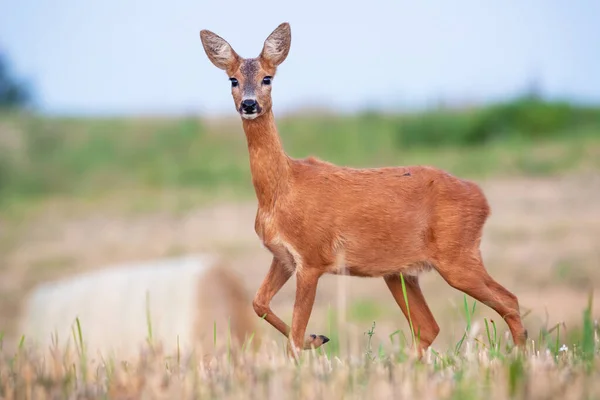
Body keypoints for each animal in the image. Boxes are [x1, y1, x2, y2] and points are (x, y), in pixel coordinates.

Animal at [200, 21, 524, 360]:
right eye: (233, 79)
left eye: (267, 77)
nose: (249, 104)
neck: (281, 190)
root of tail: (481, 197)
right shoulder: (285, 257)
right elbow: (259, 303)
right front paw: (318, 338)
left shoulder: (313, 257)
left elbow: (294, 335)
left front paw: (309, 344)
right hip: (401, 272)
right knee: (429, 326)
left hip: (458, 256)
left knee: (509, 301)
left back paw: (521, 358)